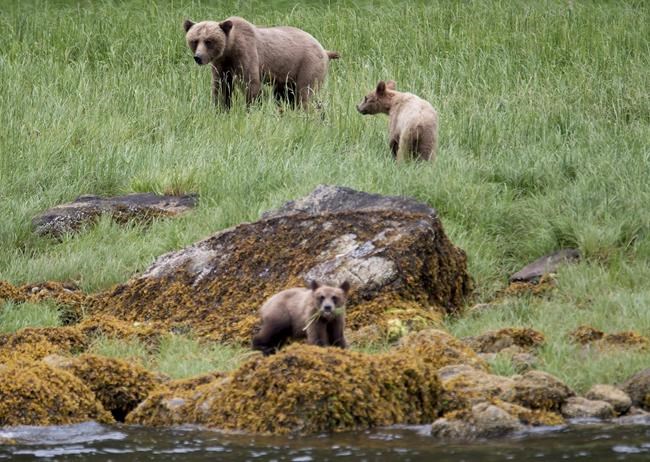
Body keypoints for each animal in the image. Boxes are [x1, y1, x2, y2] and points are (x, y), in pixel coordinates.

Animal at [183, 17, 340, 109]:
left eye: (209, 41)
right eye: (194, 40)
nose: (198, 57)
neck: (230, 48)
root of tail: (324, 50)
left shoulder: (246, 52)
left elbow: (251, 83)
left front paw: (251, 109)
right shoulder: (221, 64)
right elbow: (221, 86)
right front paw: (221, 109)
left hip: (308, 64)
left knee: (305, 93)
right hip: (288, 76)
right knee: (285, 96)